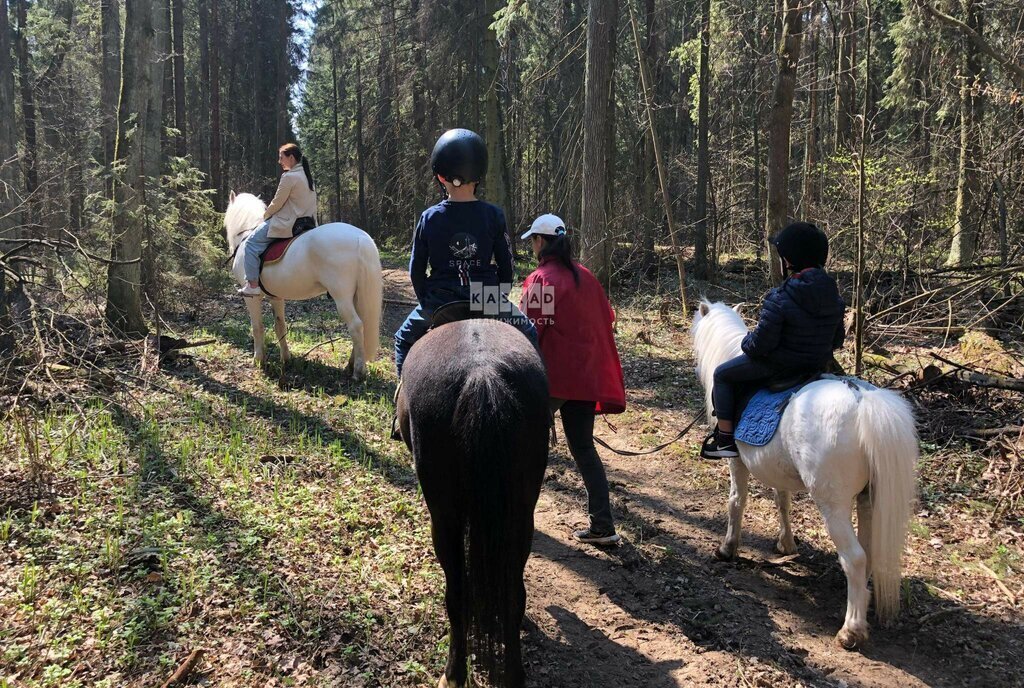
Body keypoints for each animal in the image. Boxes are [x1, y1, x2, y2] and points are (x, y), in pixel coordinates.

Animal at [224, 190, 385, 378]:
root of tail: (360, 237)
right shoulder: (276, 297)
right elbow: (280, 326)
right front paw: (286, 359)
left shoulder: (251, 298)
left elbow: (257, 327)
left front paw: (258, 360)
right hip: (356, 296)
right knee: (363, 324)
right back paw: (351, 365)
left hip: (342, 297)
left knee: (356, 326)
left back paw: (358, 371)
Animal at [395, 319, 548, 683]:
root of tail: (482, 373)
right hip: (521, 515)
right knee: (513, 594)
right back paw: (513, 674)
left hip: (444, 516)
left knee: (456, 595)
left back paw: (453, 673)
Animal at [688, 301, 921, 651]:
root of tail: (862, 400)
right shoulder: (776, 470)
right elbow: (782, 502)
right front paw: (786, 544)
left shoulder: (737, 462)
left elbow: (736, 502)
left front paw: (728, 549)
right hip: (869, 500)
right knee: (867, 554)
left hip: (833, 505)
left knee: (854, 557)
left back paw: (851, 630)